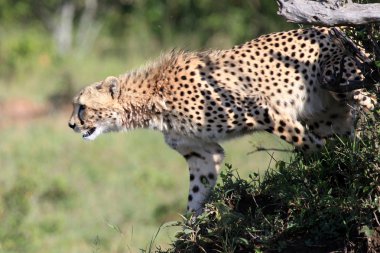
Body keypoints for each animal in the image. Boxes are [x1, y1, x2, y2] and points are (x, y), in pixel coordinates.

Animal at [68, 27, 378, 213]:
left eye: (82, 107)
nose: (71, 125)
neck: (152, 99)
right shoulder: (202, 153)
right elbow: (196, 194)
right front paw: (191, 230)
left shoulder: (261, 108)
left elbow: (306, 143)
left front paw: (324, 168)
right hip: (329, 115)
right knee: (349, 137)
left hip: (348, 82)